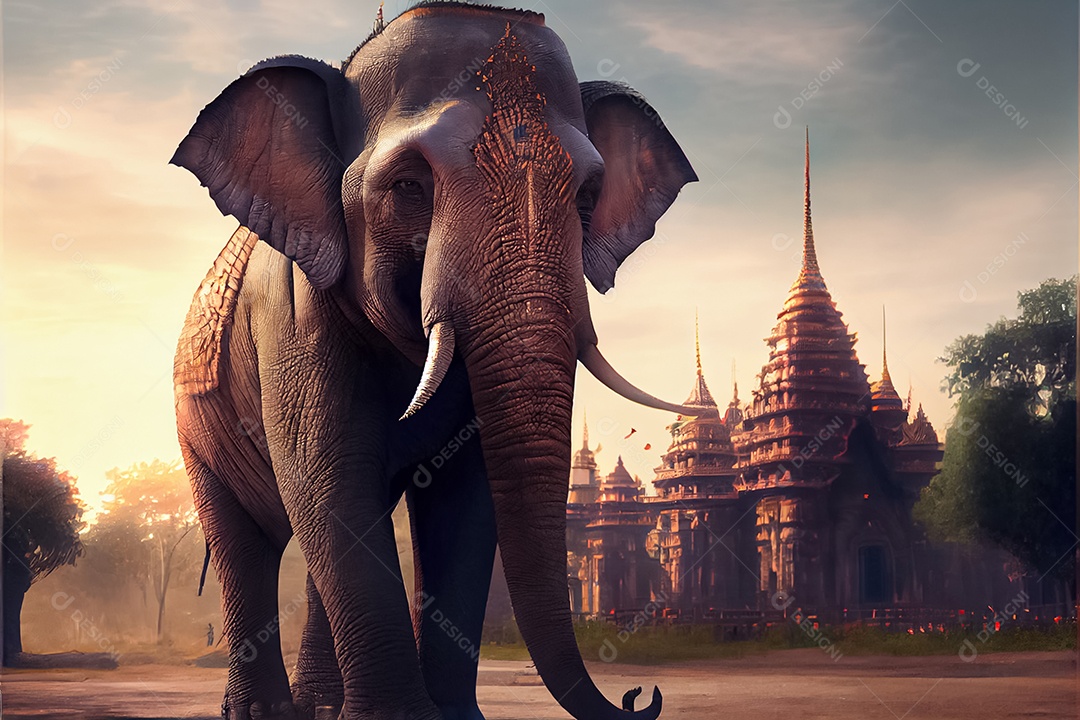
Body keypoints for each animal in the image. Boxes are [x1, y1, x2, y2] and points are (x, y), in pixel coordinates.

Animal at [171, 4, 698, 720]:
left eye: (589, 197)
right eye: (408, 187)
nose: (641, 694)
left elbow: (463, 497)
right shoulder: (291, 317)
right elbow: (332, 480)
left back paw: (319, 710)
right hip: (194, 421)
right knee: (245, 541)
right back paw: (265, 712)